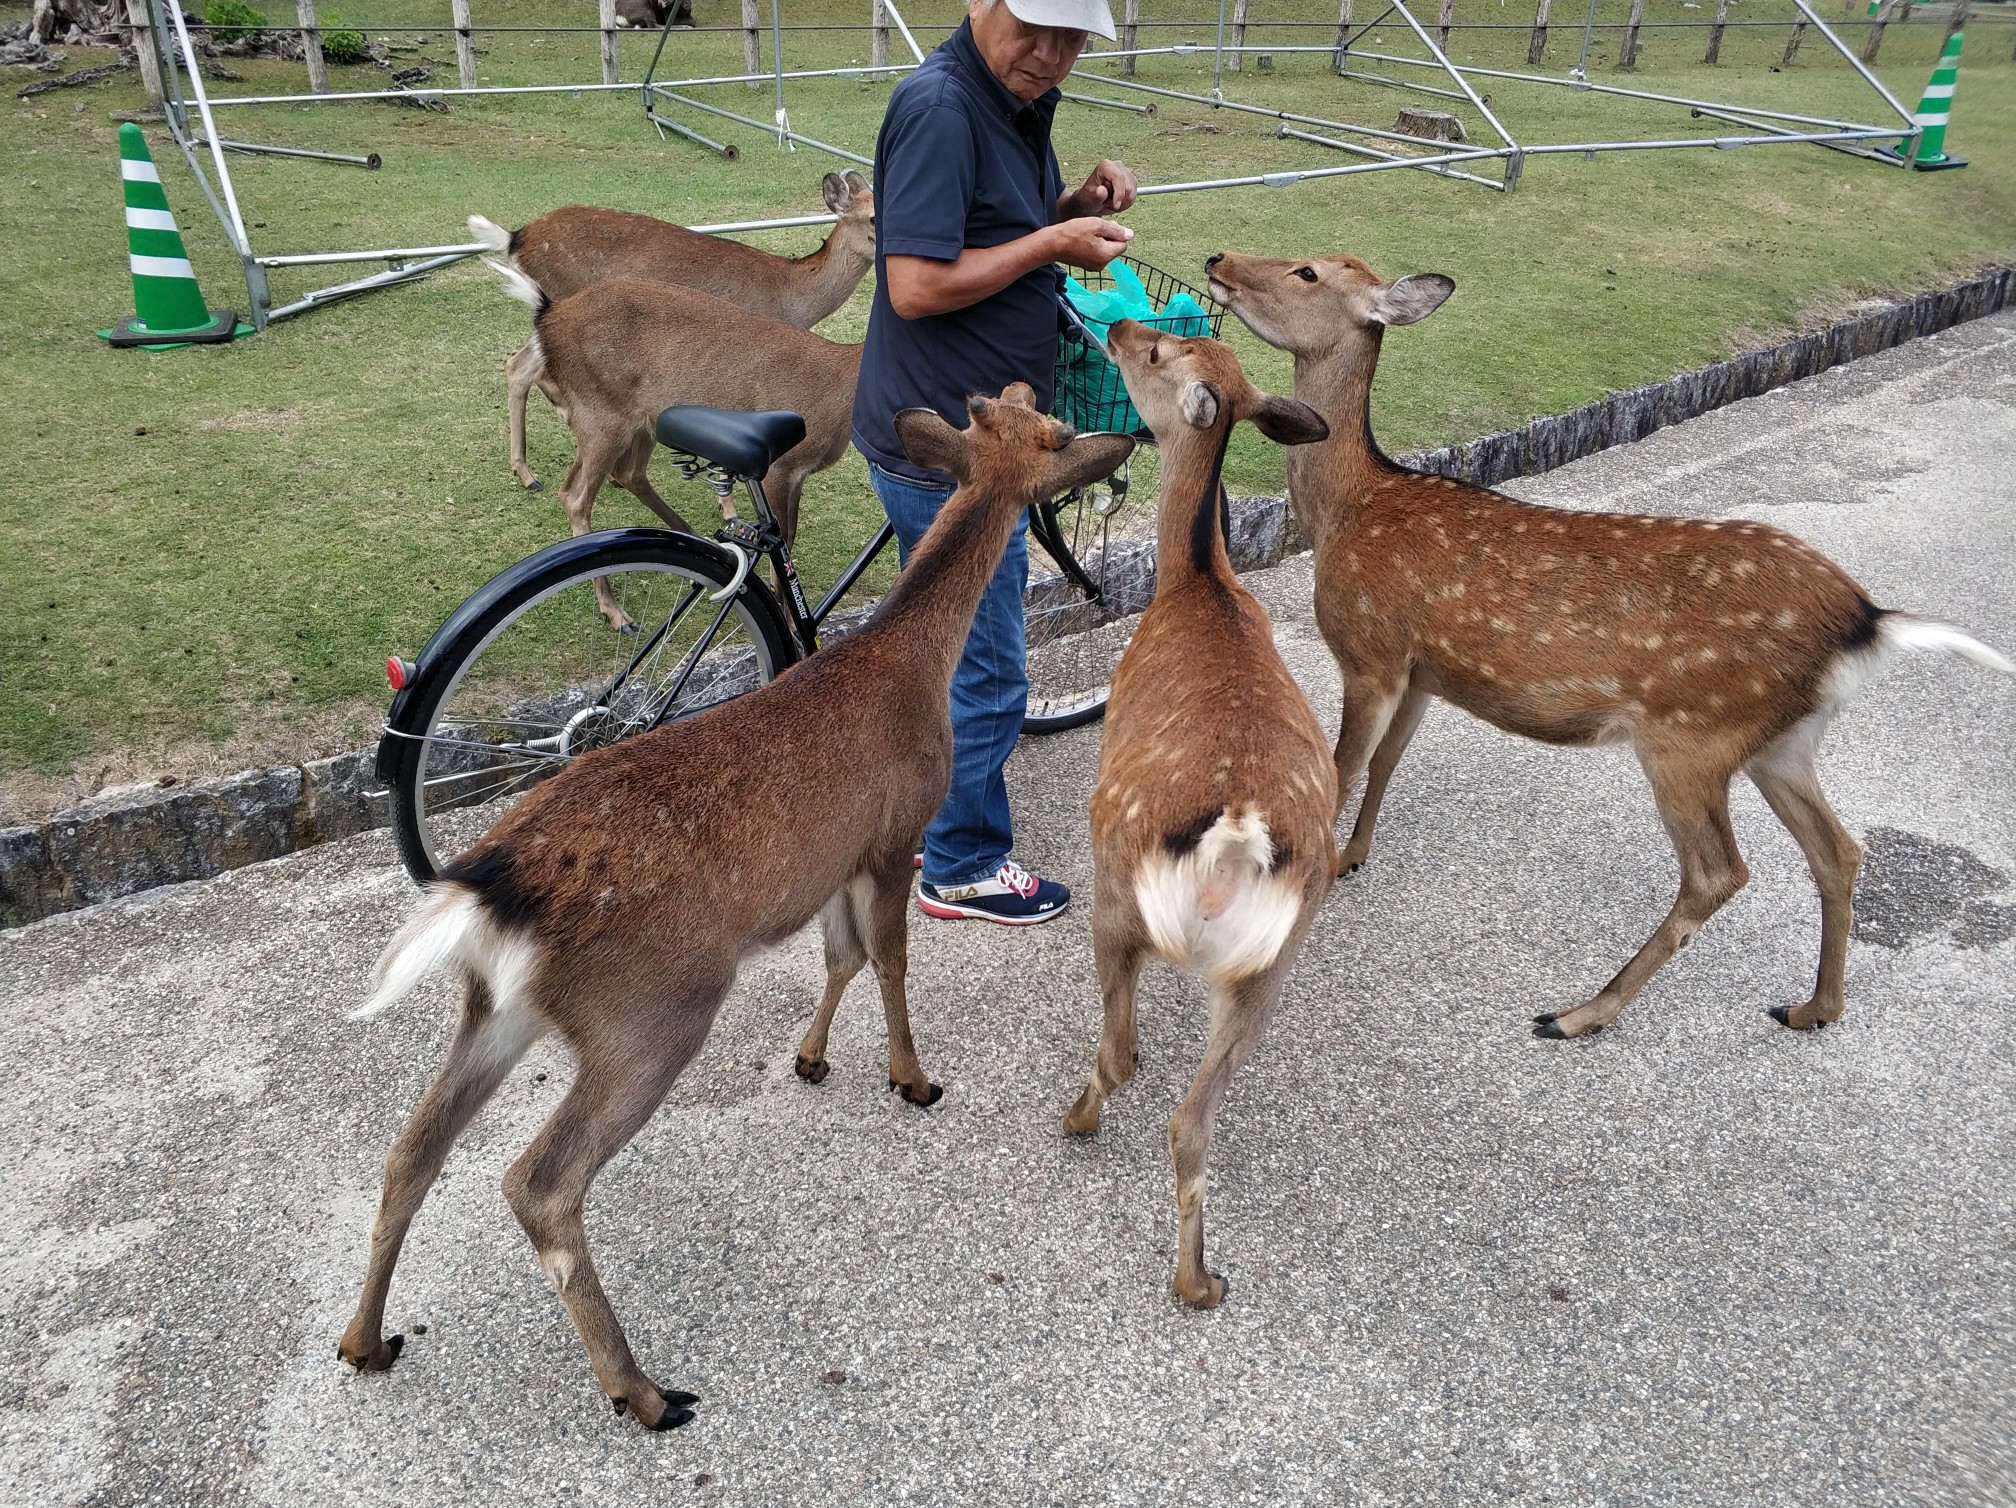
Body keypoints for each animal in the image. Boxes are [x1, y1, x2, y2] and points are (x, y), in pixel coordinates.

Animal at [340, 389, 1145, 1427]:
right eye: (1053, 430)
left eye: (1024, 412)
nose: (1113, 433)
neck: (910, 663)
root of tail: (491, 890)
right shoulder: (895, 832)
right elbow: (891, 959)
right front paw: (912, 1079)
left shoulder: (834, 859)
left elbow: (842, 957)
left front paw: (812, 1060)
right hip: (652, 1008)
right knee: (537, 1183)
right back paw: (644, 1392)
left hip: (496, 1006)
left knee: (411, 1151)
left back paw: (367, 1341)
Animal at [479, 170, 883, 489]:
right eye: (873, 218)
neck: (791, 296)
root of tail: (517, 237)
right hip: (563, 297)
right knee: (528, 367)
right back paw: (535, 469)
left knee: (519, 364)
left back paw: (529, 471)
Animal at [491, 262, 862, 629]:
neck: (837, 394)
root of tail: (548, 313)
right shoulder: (781, 467)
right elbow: (782, 543)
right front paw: (793, 622)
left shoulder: (798, 474)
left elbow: (790, 534)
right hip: (601, 415)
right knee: (575, 496)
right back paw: (615, 611)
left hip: (637, 422)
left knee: (624, 474)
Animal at [1064, 326, 1346, 1306]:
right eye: (1189, 341)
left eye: (1156, 352)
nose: (1114, 330)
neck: (1199, 581)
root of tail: (1234, 839)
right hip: (1272, 966)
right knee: (1194, 1124)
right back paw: (1200, 1282)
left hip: (1114, 885)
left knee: (1118, 1054)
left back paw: (1078, 1117)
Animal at [1201, 249, 2007, 1048]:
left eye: (1307, 271)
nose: (1218, 260)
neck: (1346, 508)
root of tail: (1865, 620)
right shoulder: (1425, 668)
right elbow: (1388, 761)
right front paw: (1355, 858)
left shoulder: (1369, 648)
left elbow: (1342, 769)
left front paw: (1316, 881)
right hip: (1784, 741)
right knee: (1839, 850)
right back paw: (1812, 1007)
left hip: (1693, 734)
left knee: (1719, 872)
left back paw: (1579, 1012)